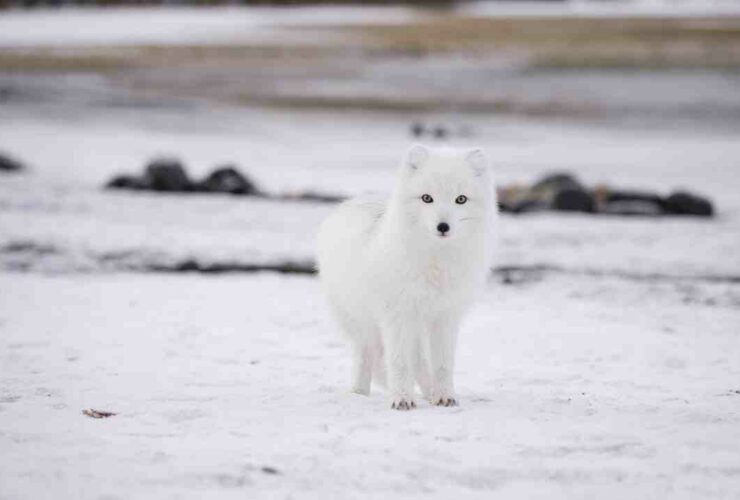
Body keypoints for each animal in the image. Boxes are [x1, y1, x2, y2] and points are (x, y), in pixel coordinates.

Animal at [318, 145, 498, 410]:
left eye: (461, 199)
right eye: (427, 198)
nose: (443, 226)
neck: (435, 263)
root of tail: (352, 201)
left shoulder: (445, 317)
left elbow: (442, 364)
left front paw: (444, 396)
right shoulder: (397, 316)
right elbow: (400, 363)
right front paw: (402, 399)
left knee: (419, 362)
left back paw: (430, 392)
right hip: (360, 321)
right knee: (366, 355)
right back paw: (359, 393)